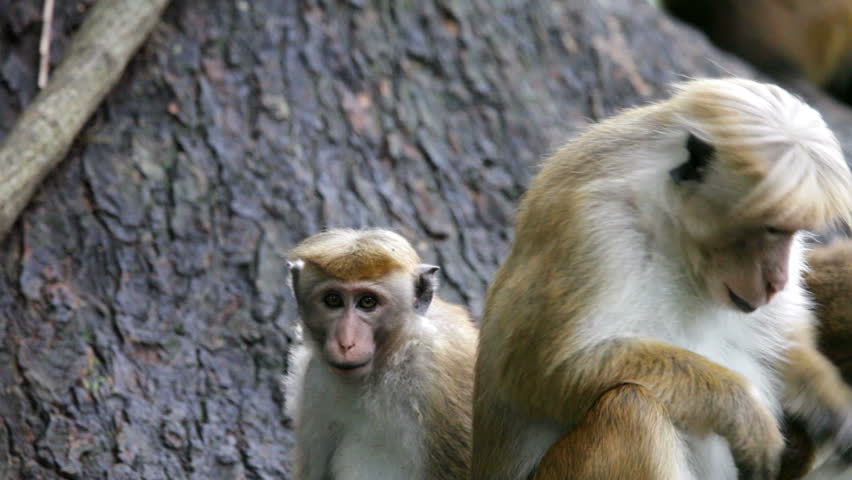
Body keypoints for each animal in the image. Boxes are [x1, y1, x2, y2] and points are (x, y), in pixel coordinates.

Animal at [471, 78, 852, 480]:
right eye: (772, 229)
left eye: (793, 232)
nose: (777, 279)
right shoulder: (594, 226)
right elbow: (546, 371)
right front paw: (745, 412)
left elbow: (784, 342)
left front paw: (828, 405)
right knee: (633, 406)